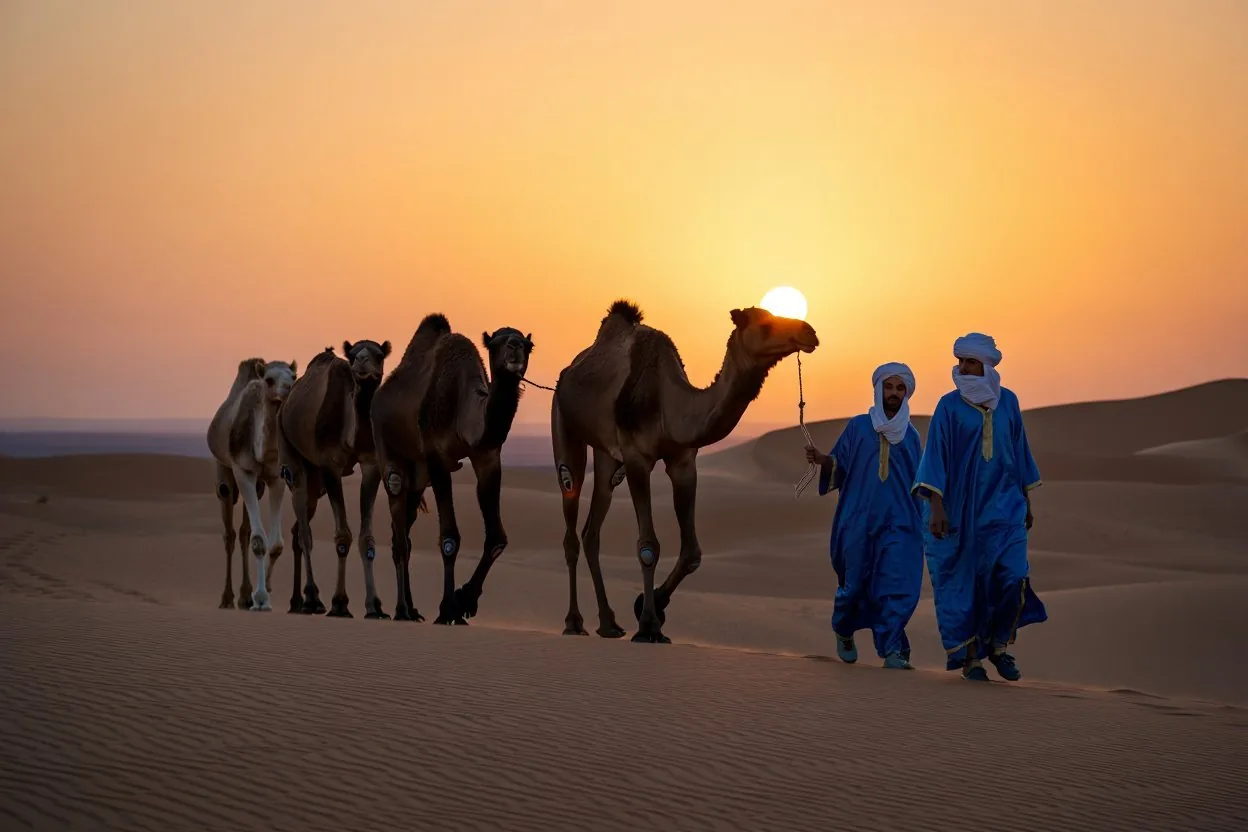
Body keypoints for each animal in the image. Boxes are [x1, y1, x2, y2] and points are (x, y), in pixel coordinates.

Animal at [207, 357, 298, 611]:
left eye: (294, 376)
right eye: (269, 380)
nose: (289, 389)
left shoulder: (276, 477)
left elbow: (275, 543)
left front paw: (265, 592)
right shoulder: (243, 470)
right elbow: (259, 541)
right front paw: (261, 598)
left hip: (257, 487)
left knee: (244, 532)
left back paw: (245, 596)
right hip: (224, 471)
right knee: (229, 532)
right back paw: (227, 598)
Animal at [277, 339, 409, 619]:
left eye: (379, 355)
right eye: (352, 354)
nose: (362, 362)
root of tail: (284, 404)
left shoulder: (371, 463)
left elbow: (366, 537)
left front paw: (375, 606)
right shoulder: (330, 465)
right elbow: (342, 536)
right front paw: (339, 603)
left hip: (315, 481)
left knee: (297, 530)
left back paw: (297, 601)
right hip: (291, 455)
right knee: (304, 531)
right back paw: (312, 599)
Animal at [371, 314, 533, 624]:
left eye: (528, 344)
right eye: (496, 343)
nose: (515, 347)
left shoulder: (487, 456)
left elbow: (497, 537)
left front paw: (465, 599)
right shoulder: (437, 456)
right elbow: (449, 539)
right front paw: (448, 608)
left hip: (418, 474)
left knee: (405, 533)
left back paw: (413, 609)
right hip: (389, 451)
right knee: (399, 533)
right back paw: (401, 610)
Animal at [551, 300, 818, 643]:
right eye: (765, 325)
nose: (809, 332)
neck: (669, 405)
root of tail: (568, 373)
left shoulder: (682, 462)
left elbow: (692, 552)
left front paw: (649, 604)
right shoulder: (637, 458)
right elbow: (648, 546)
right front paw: (649, 625)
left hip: (607, 455)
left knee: (592, 530)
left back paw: (609, 623)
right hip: (563, 421)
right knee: (570, 516)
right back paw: (574, 622)